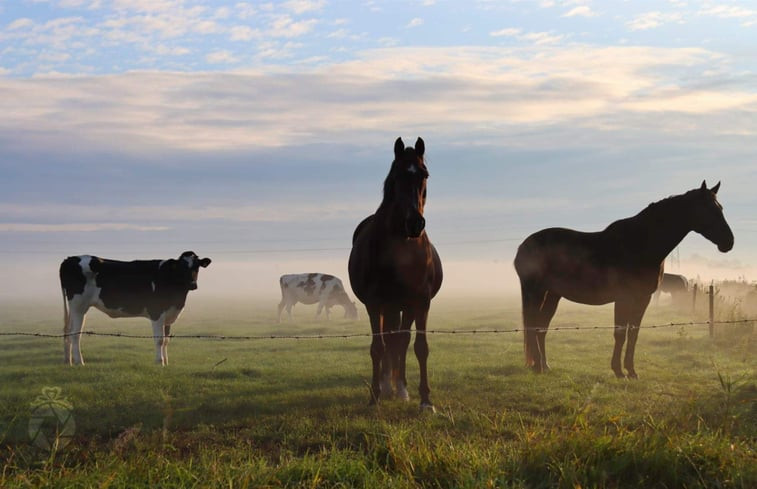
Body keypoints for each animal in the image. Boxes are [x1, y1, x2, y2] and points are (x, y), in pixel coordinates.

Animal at [58, 252, 213, 362]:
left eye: (197, 266)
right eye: (182, 267)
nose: (193, 284)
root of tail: (70, 258)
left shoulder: (169, 313)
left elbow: (166, 340)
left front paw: (166, 362)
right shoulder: (156, 312)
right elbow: (159, 340)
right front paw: (160, 362)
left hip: (74, 308)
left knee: (69, 331)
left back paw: (69, 361)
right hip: (79, 306)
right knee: (75, 334)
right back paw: (80, 362)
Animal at [348, 137, 442, 408]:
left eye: (424, 174)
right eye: (396, 175)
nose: (415, 223)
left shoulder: (421, 301)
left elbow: (420, 347)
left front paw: (426, 399)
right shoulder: (374, 303)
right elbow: (377, 348)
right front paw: (375, 396)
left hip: (404, 307)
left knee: (400, 341)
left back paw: (399, 387)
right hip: (388, 307)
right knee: (389, 341)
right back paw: (387, 385)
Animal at [512, 182, 732, 378]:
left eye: (720, 208)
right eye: (709, 209)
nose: (729, 242)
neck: (640, 244)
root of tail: (523, 247)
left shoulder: (643, 298)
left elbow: (633, 334)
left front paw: (631, 371)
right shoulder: (623, 298)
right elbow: (620, 333)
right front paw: (618, 371)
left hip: (552, 295)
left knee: (541, 328)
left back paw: (544, 365)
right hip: (536, 292)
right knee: (533, 326)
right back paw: (538, 367)